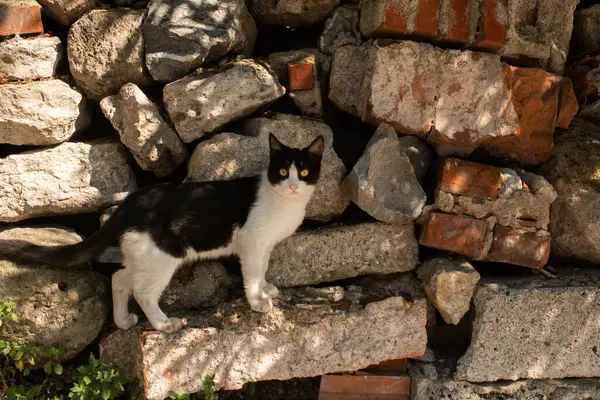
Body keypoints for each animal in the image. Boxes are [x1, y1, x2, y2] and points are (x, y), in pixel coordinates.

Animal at [0, 133, 324, 332]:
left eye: (304, 173)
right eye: (282, 172)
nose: (293, 185)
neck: (284, 203)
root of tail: (131, 201)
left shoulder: (265, 245)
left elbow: (264, 269)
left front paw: (267, 288)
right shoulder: (253, 242)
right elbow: (253, 274)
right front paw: (257, 301)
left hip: (143, 253)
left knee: (119, 279)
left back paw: (123, 320)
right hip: (162, 254)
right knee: (142, 291)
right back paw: (163, 324)